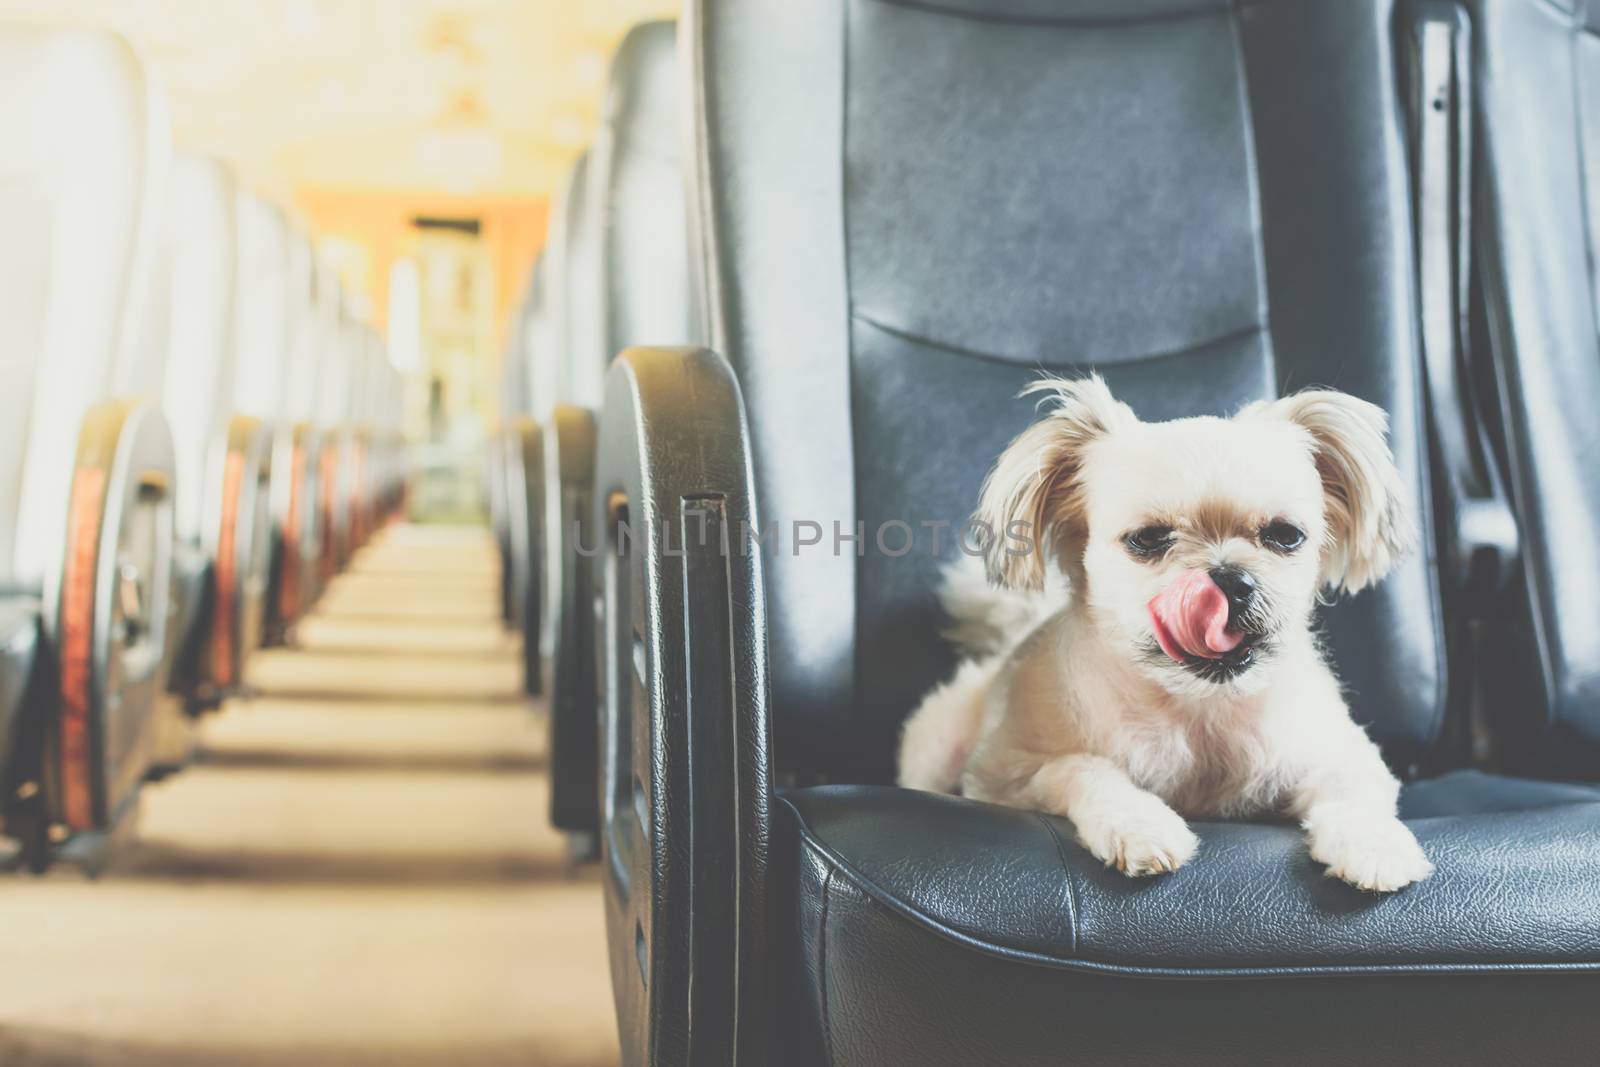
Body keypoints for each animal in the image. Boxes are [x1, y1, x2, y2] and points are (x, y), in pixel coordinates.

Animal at [902, 375, 1440, 895]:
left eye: (1286, 535)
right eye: (1148, 539)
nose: (1229, 580)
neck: (1197, 710)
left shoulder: (1344, 754)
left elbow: (1353, 792)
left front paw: (1373, 844)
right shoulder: (1005, 775)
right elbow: (1080, 767)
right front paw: (1137, 824)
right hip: (935, 750)